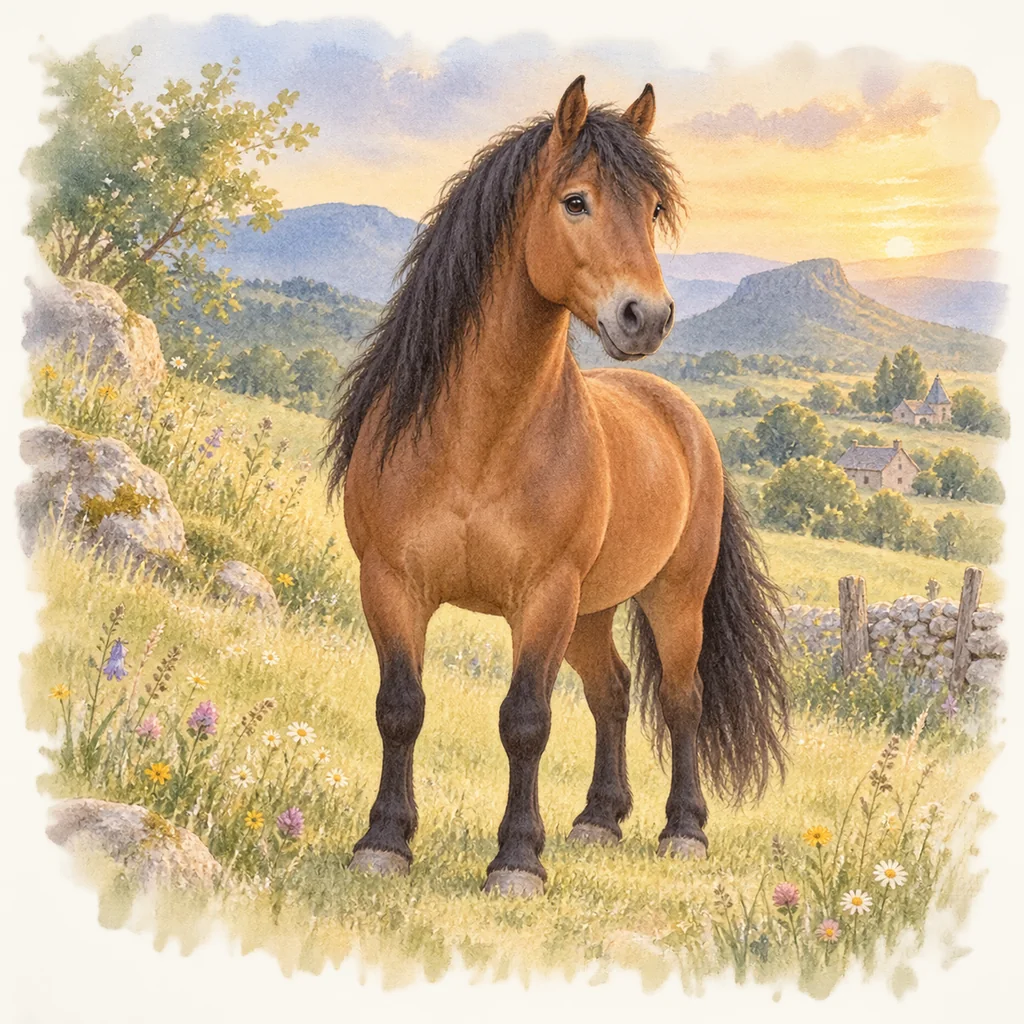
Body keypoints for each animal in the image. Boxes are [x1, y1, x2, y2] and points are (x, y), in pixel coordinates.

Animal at [324, 76, 789, 897]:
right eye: (576, 201)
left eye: (654, 209)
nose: (647, 316)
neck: (477, 442)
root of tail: (681, 415)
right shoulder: (390, 583)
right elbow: (400, 708)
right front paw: (384, 841)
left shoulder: (543, 597)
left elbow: (525, 722)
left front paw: (516, 860)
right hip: (591, 612)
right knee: (613, 691)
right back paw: (600, 819)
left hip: (670, 599)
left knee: (681, 700)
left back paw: (683, 830)